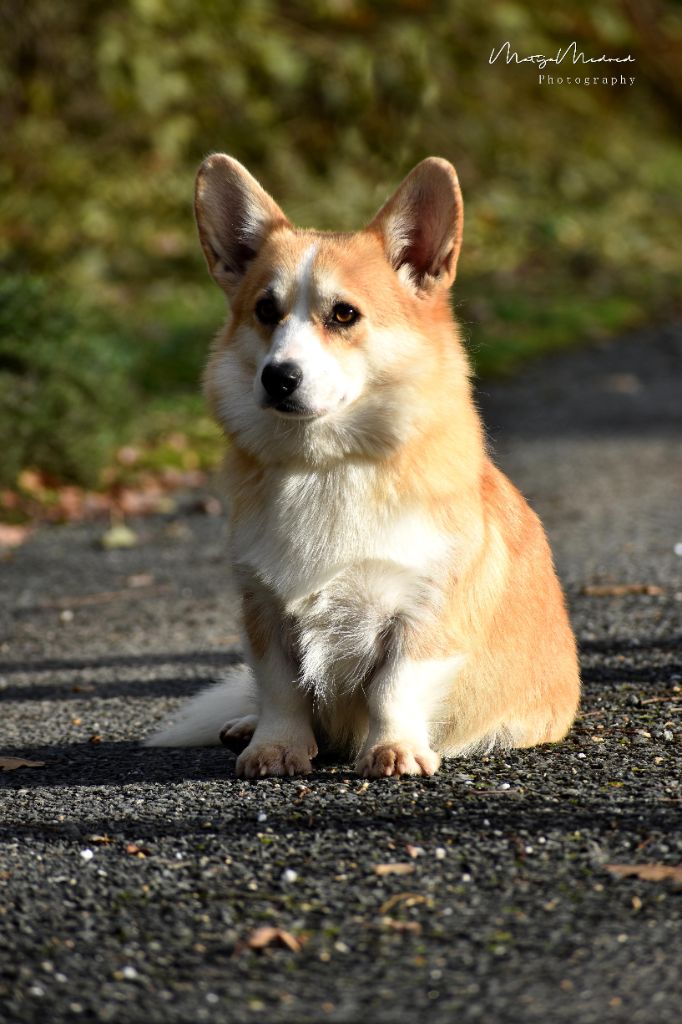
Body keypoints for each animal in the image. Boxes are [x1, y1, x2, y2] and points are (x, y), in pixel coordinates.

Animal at [144, 153, 577, 774]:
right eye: (265, 311)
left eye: (344, 314)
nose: (277, 377)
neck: (327, 467)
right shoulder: (263, 608)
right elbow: (278, 687)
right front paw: (273, 747)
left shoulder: (422, 609)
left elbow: (393, 687)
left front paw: (393, 749)